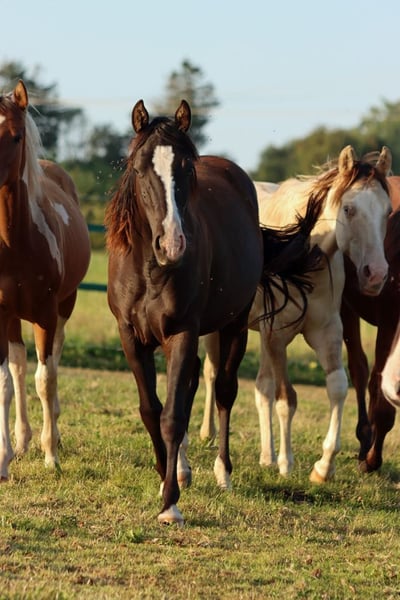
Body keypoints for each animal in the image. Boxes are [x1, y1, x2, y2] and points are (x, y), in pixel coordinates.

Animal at [105, 98, 324, 525]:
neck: (150, 269)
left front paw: (170, 503)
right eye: (139, 168)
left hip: (232, 327)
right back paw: (184, 469)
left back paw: (222, 472)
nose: (173, 244)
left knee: (223, 391)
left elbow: (172, 416)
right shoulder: (131, 337)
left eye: (187, 169)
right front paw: (166, 474)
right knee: (192, 386)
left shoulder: (183, 332)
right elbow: (151, 410)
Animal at [201, 146, 392, 483]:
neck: (304, 256)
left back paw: (265, 456)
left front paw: (323, 466)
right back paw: (207, 434)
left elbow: (337, 387)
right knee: (211, 373)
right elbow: (286, 398)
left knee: (261, 387)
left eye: (388, 212)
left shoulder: (325, 335)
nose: (376, 275)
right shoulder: (278, 337)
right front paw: (286, 462)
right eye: (349, 209)